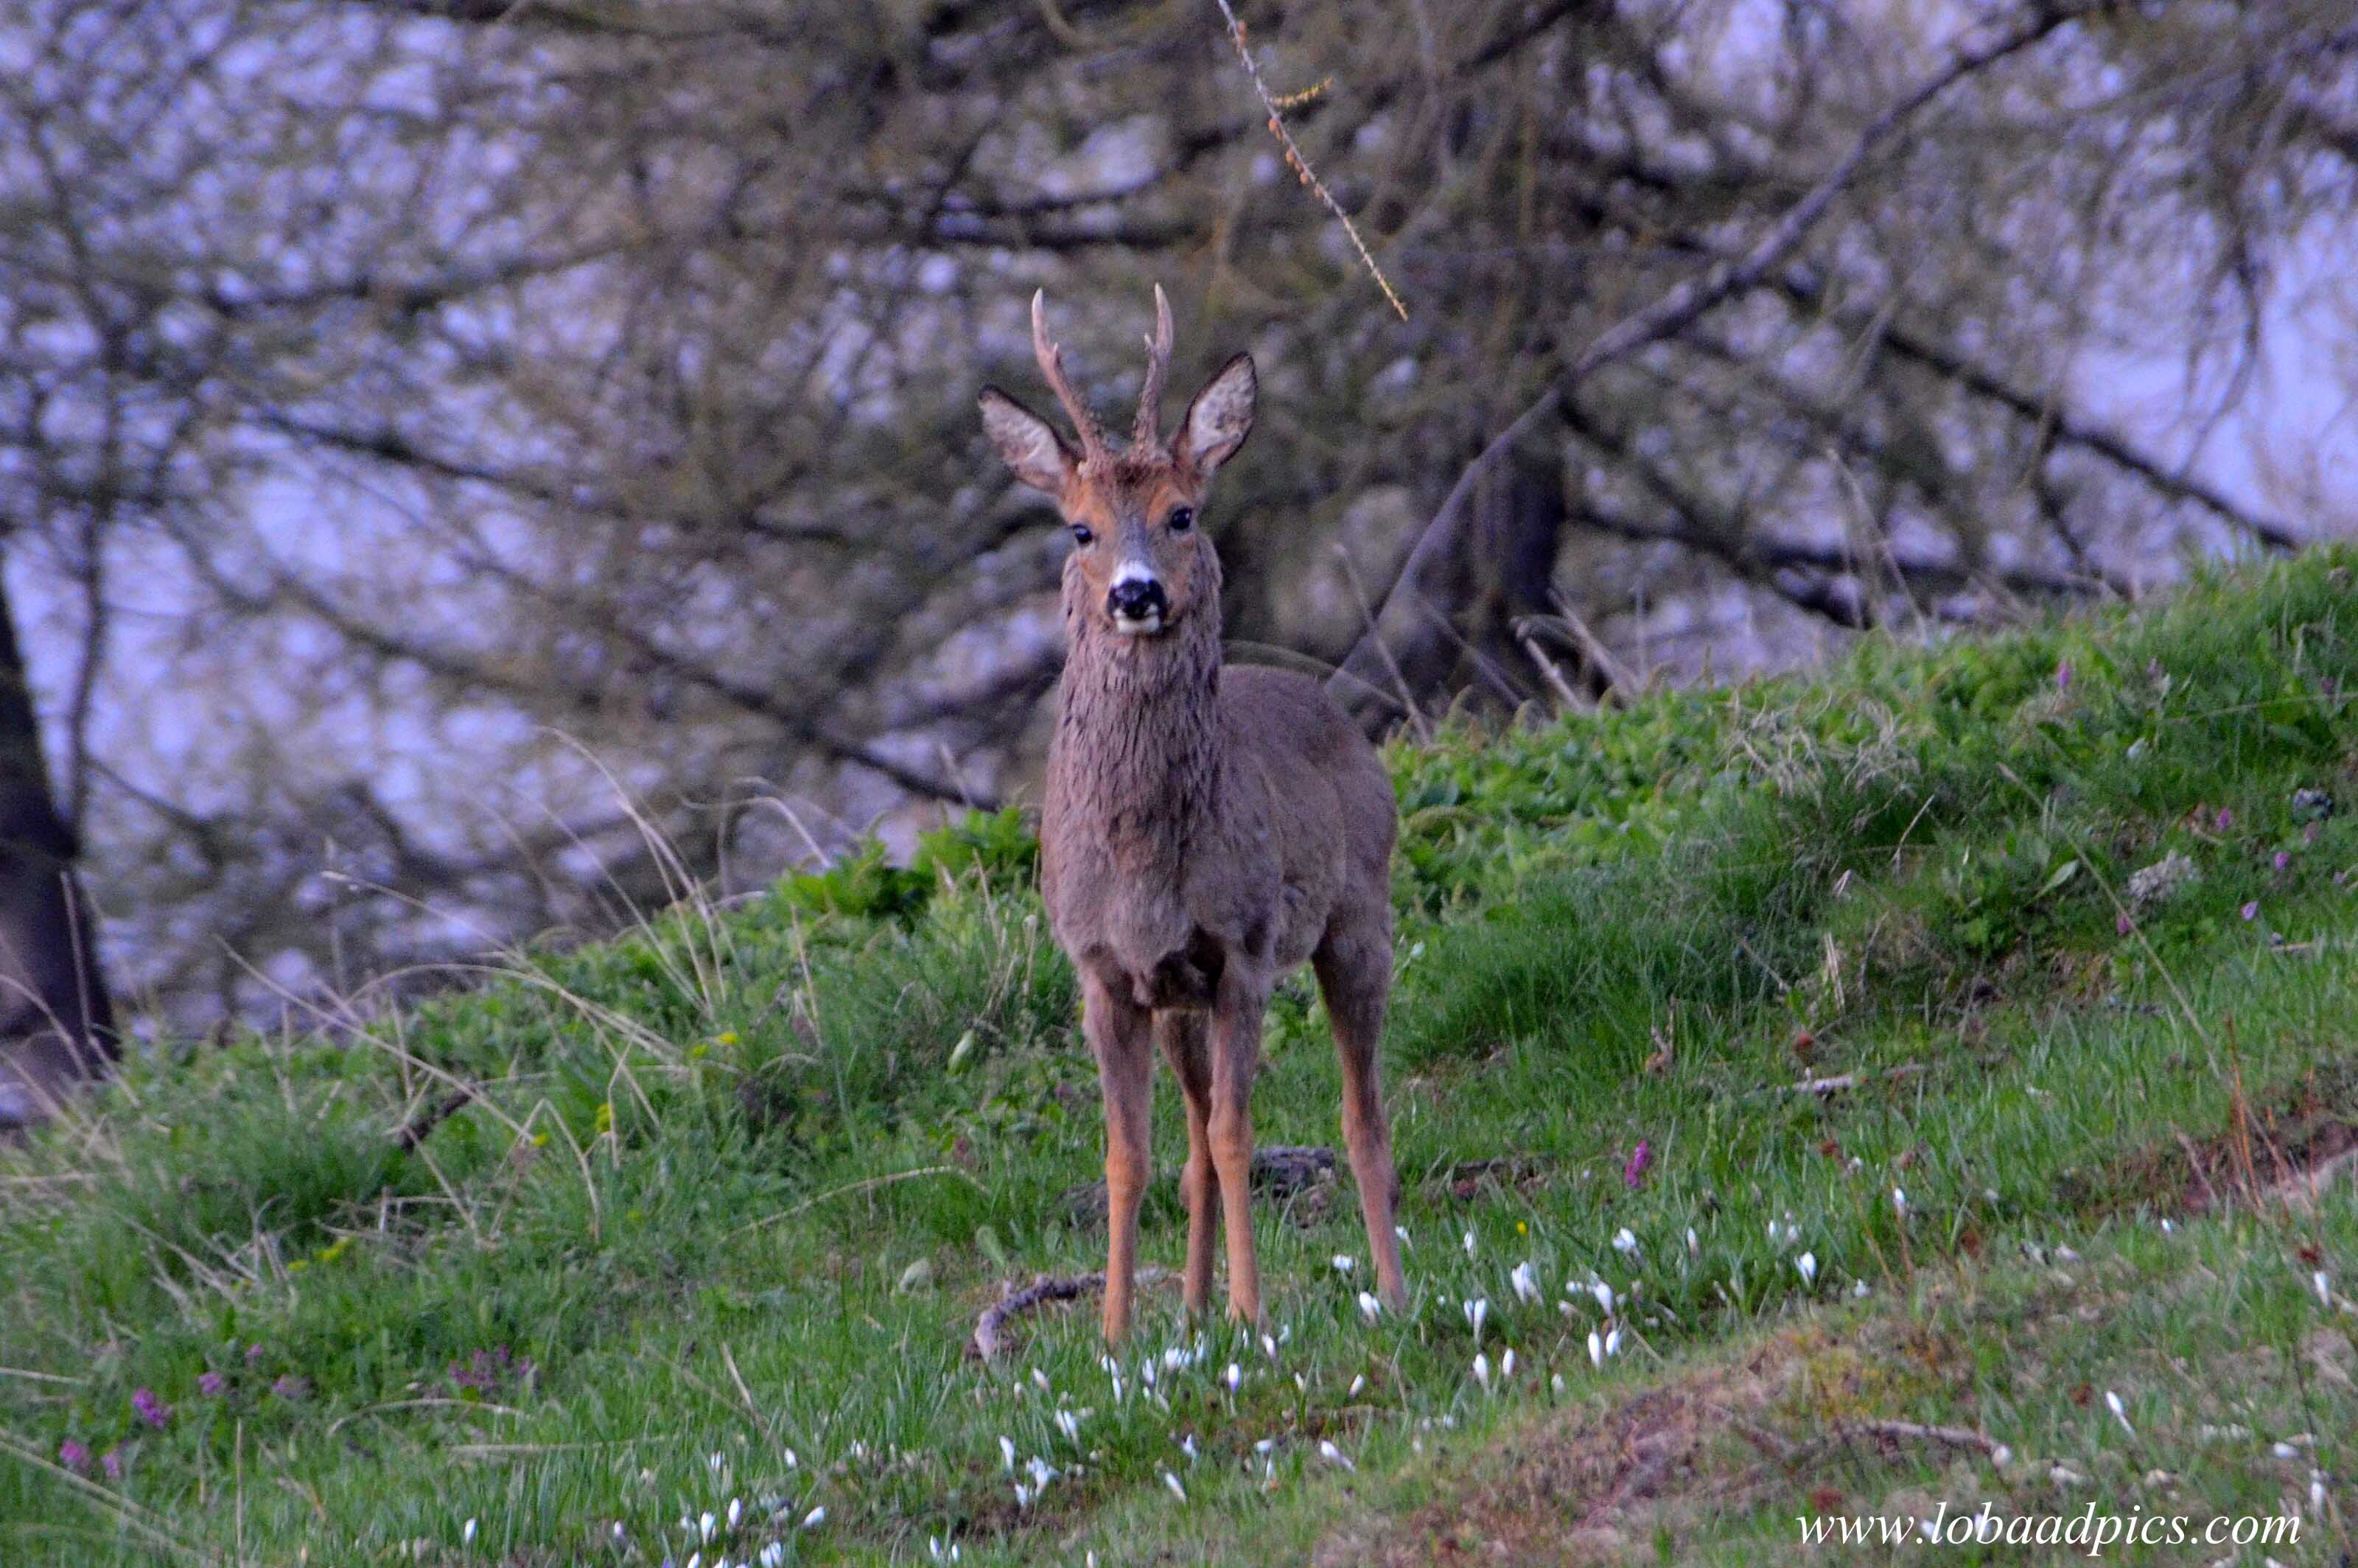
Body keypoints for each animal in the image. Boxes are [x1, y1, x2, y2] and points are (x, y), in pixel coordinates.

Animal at [976, 287, 1396, 1339]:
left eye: (1181, 513)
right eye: (1079, 530)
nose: (1137, 594)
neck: (1141, 863)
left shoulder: (1241, 947)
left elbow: (1240, 1132)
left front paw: (1253, 1311)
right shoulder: (1106, 970)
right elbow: (1132, 1152)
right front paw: (1117, 1335)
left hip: (1357, 921)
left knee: (1360, 1114)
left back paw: (1393, 1289)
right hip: (1179, 1003)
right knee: (1196, 1142)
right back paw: (1195, 1310)